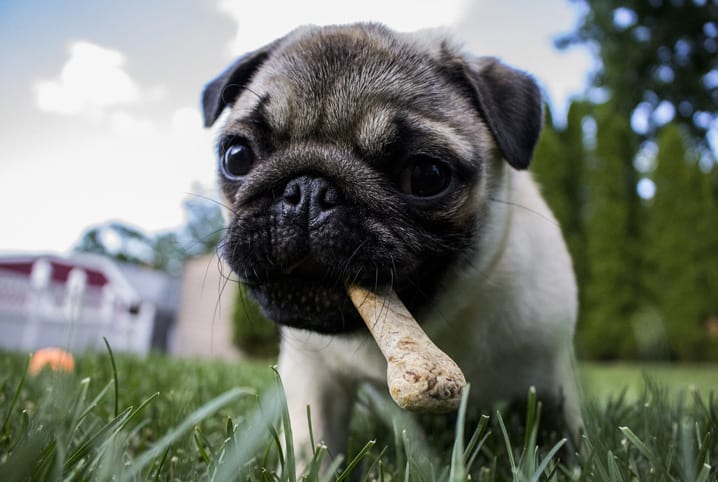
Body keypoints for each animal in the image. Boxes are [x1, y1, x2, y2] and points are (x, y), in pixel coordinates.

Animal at [202, 21, 584, 460]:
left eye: (427, 176)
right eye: (237, 156)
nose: (308, 191)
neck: (433, 322)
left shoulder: (554, 371)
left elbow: (568, 434)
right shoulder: (312, 373)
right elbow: (309, 445)